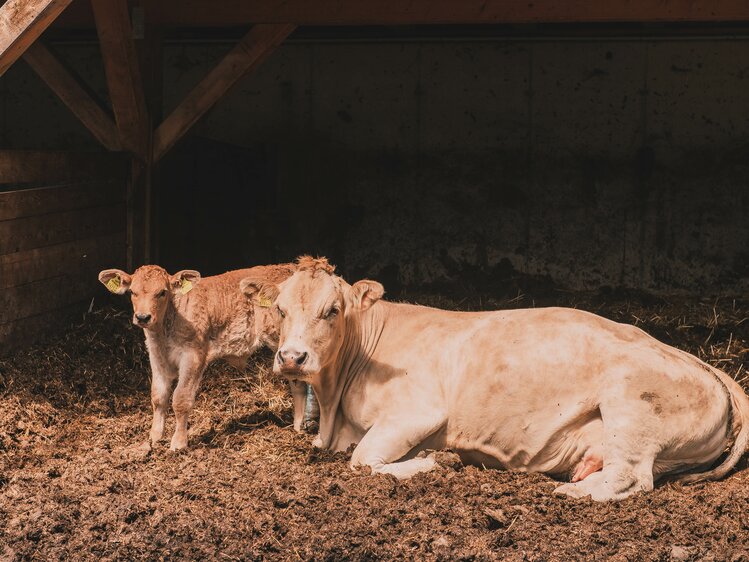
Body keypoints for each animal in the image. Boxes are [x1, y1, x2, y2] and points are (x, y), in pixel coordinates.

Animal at [98, 264, 318, 450]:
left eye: (162, 292)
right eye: (132, 292)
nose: (143, 317)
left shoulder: (193, 356)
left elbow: (180, 399)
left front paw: (178, 443)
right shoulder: (156, 355)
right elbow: (158, 396)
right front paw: (154, 437)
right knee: (298, 383)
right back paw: (299, 425)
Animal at [241, 254, 748, 498]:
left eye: (332, 310)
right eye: (280, 309)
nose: (292, 357)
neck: (334, 407)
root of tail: (696, 360)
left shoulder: (419, 410)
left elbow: (363, 459)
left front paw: (435, 461)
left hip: (632, 407)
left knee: (630, 478)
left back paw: (569, 494)